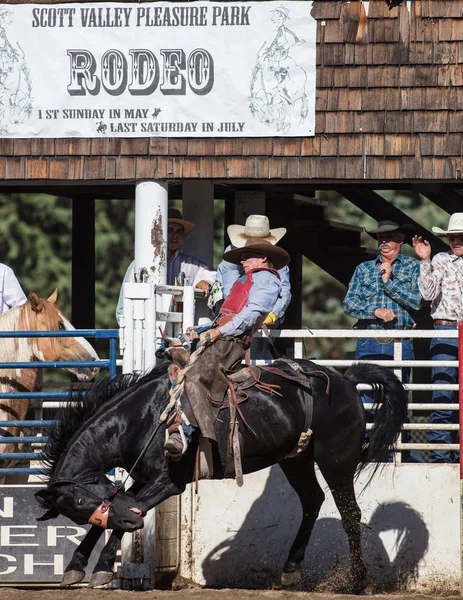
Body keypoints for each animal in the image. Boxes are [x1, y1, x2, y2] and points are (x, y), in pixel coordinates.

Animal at [34, 358, 408, 588]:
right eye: (76, 508)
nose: (132, 523)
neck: (144, 417)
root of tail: (345, 379)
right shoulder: (140, 478)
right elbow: (115, 512)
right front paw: (76, 567)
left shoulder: (168, 482)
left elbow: (128, 511)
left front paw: (99, 569)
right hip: (296, 458)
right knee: (312, 500)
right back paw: (290, 569)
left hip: (336, 457)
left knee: (349, 512)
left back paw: (357, 581)